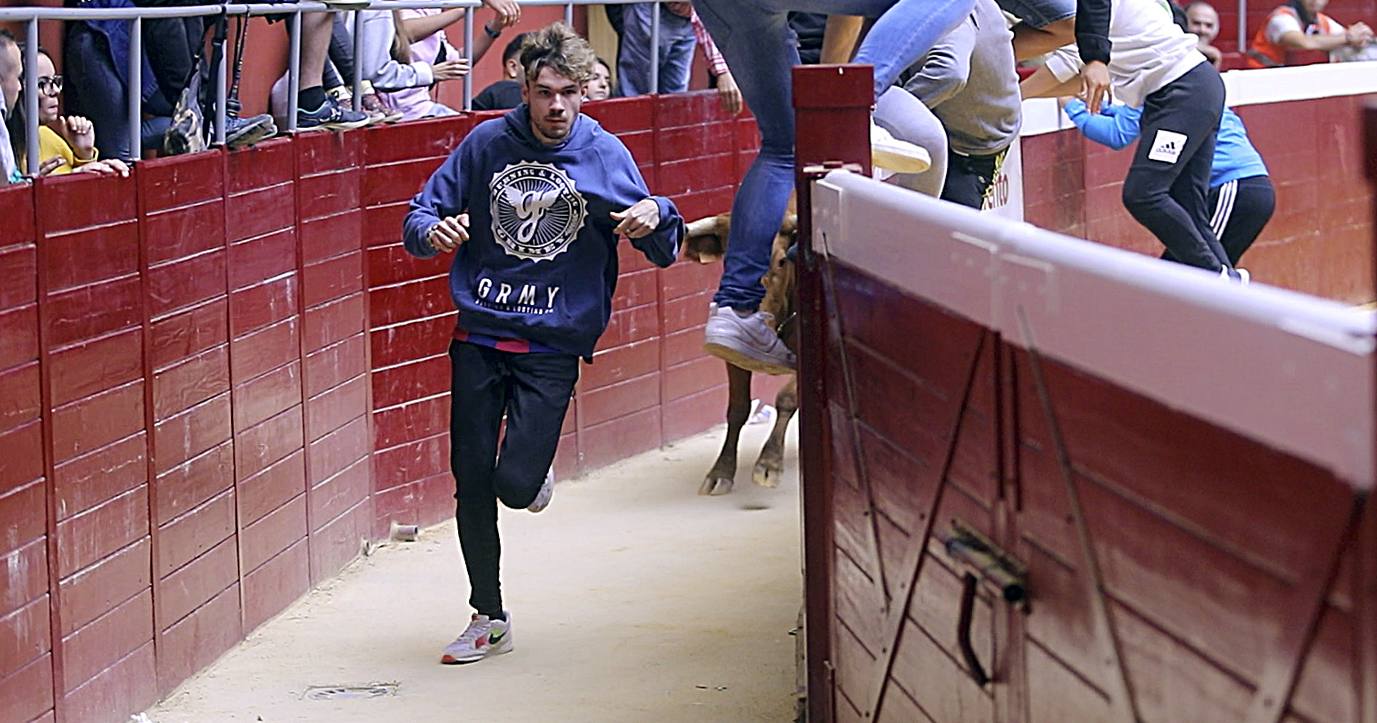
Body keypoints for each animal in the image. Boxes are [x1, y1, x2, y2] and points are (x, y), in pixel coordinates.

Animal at [680, 213, 798, 495]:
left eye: (781, 261)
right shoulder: (734, 357)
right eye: (728, 261)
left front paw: (769, 464)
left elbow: (787, 398)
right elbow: (738, 408)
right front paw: (720, 472)